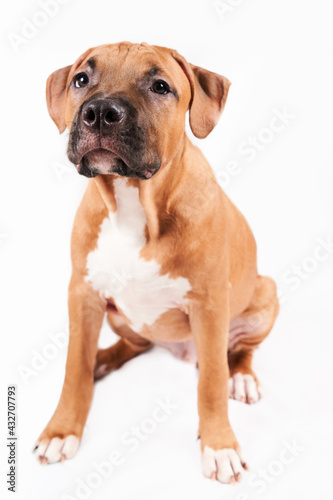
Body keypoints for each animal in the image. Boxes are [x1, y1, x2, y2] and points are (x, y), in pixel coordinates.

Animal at [33, 43, 278, 484]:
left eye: (160, 86)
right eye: (81, 79)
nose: (100, 112)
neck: (135, 201)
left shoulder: (209, 305)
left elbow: (211, 383)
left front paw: (220, 446)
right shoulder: (83, 293)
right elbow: (73, 369)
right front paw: (62, 431)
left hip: (266, 292)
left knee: (237, 353)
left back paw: (242, 378)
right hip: (118, 315)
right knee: (134, 342)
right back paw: (102, 360)